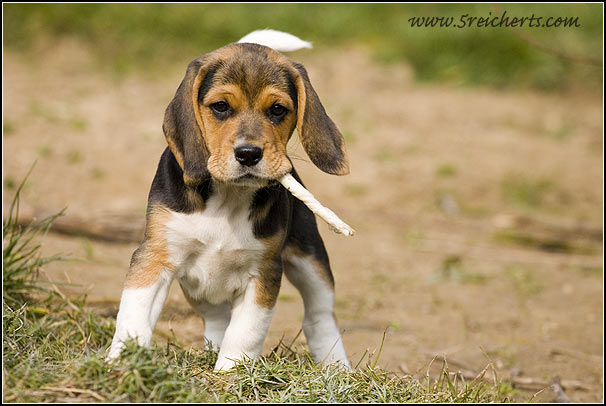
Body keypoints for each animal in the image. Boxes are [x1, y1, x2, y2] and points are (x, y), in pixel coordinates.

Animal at [108, 30, 351, 371]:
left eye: (278, 110)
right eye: (221, 107)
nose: (248, 154)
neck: (227, 197)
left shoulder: (263, 272)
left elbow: (244, 333)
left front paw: (229, 373)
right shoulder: (154, 257)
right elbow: (134, 317)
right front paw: (121, 363)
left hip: (310, 258)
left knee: (319, 317)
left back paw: (338, 368)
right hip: (196, 288)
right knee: (216, 317)